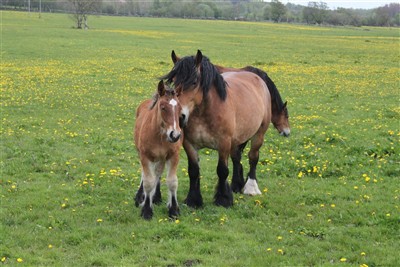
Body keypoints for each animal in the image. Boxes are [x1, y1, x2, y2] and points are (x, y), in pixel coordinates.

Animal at [135, 79, 184, 220]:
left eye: (179, 108)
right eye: (162, 107)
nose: (175, 135)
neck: (160, 136)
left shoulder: (173, 156)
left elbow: (172, 181)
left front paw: (173, 210)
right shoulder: (145, 156)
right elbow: (148, 181)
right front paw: (146, 209)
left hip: (161, 158)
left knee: (158, 172)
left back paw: (156, 197)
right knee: (146, 174)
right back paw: (140, 197)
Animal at [162, 50, 290, 209]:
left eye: (194, 82)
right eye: (173, 82)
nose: (179, 117)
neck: (203, 113)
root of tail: (257, 78)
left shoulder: (223, 143)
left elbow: (222, 170)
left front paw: (223, 199)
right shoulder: (189, 144)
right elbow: (193, 171)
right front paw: (193, 200)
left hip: (258, 135)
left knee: (253, 157)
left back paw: (251, 188)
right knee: (236, 158)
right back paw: (236, 185)